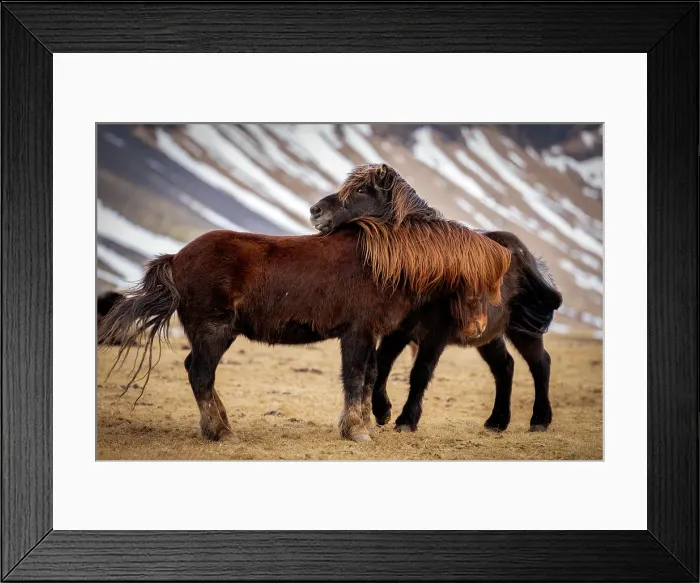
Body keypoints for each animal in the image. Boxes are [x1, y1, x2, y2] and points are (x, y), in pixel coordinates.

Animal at [99, 164, 511, 443]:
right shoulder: (357, 333)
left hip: (216, 333)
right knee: (200, 374)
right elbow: (356, 377)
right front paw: (358, 431)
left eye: (362, 191)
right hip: (214, 331)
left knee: (196, 371)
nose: (315, 212)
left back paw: (219, 426)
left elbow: (370, 376)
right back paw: (222, 432)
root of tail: (177, 257)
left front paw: (361, 426)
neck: (380, 259)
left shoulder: (370, 334)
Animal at [310, 163, 563, 432]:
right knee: (505, 366)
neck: (425, 270)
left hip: (524, 331)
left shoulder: (436, 334)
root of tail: (530, 259)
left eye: (361, 190)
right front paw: (383, 411)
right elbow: (381, 364)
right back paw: (497, 421)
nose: (315, 211)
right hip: (488, 336)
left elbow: (420, 372)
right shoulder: (399, 331)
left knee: (540, 364)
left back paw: (539, 420)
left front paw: (406, 420)